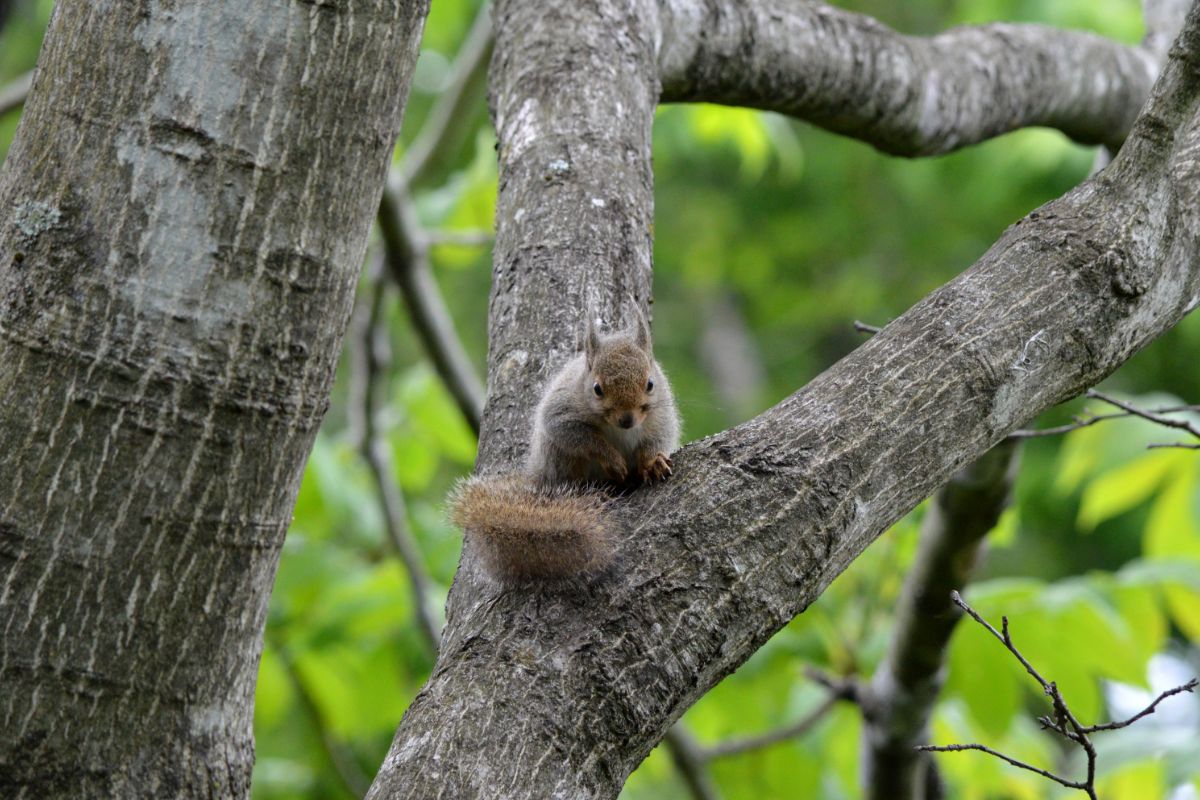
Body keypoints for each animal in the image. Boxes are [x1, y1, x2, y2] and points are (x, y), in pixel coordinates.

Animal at [451, 307, 681, 582]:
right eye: (597, 389)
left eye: (650, 384)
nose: (627, 419)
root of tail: (539, 475)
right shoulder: (562, 413)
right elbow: (579, 436)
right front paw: (613, 460)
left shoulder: (661, 416)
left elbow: (657, 439)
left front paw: (653, 462)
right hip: (561, 459)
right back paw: (592, 494)